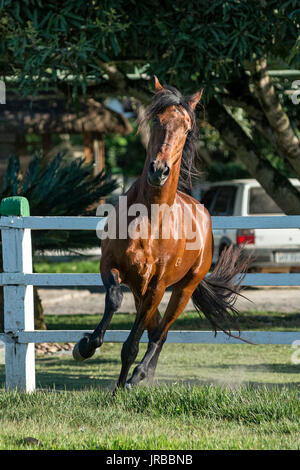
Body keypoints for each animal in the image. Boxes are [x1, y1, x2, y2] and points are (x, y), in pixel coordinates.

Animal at [72, 77, 251, 390]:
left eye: (187, 128)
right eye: (157, 119)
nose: (159, 171)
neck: (149, 220)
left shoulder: (157, 285)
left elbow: (132, 344)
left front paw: (119, 388)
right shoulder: (111, 267)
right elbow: (113, 299)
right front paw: (85, 346)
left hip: (182, 289)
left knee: (160, 332)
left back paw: (138, 376)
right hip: (140, 289)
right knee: (155, 326)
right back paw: (142, 375)